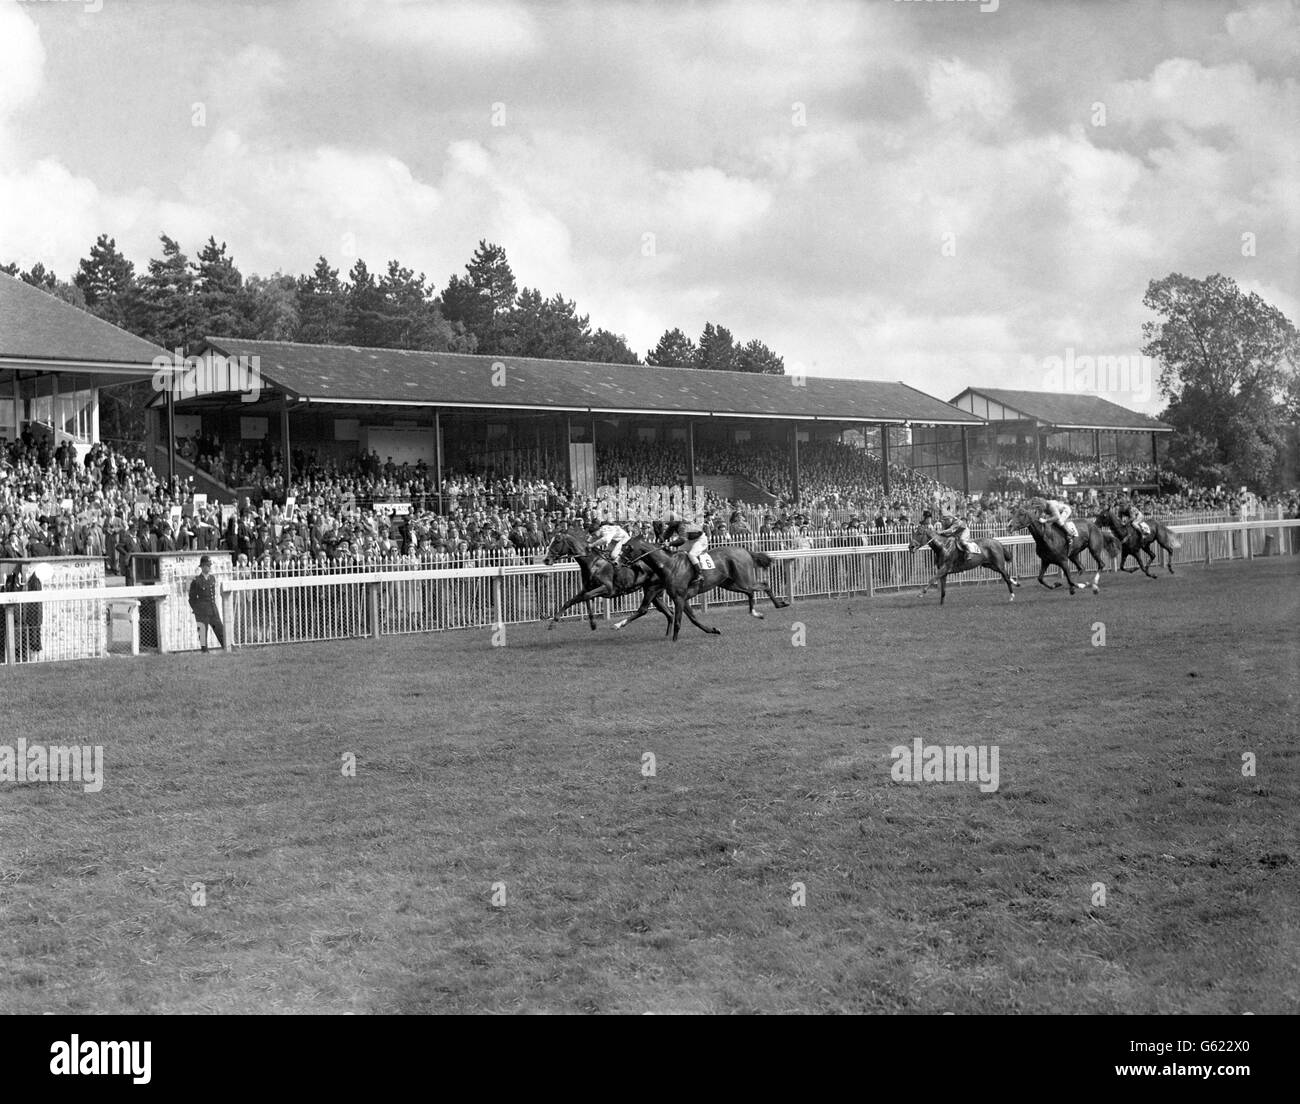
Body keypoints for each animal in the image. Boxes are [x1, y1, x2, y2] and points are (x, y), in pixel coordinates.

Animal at [543, 530, 676, 631]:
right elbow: (570, 601)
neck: (593, 563)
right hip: (654, 593)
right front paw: (552, 623)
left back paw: (618, 625)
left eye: (557, 541)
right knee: (669, 613)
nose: (546, 560)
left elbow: (586, 596)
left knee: (643, 610)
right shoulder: (587, 588)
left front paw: (593, 623)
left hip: (652, 588)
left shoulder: (607, 588)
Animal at [613, 533, 785, 637]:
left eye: (628, 548)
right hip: (729, 584)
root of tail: (745, 550)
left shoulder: (678, 597)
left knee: (763, 585)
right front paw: (713, 630)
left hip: (742, 579)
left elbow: (678, 620)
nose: (615, 562)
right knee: (750, 591)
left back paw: (775, 606)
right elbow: (693, 618)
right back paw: (759, 612)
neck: (668, 565)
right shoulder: (680, 597)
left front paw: (674, 641)